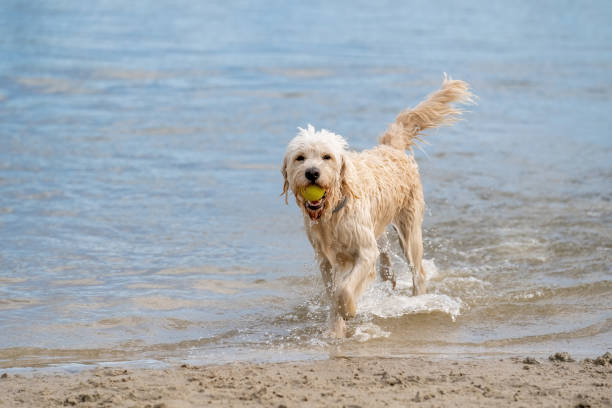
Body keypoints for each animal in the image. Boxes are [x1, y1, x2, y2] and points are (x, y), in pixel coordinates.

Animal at [282, 76, 474, 338]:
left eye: (326, 157)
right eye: (300, 157)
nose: (312, 173)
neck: (333, 211)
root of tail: (390, 147)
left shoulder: (363, 252)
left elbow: (344, 290)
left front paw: (349, 310)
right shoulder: (325, 259)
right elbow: (333, 292)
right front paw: (335, 330)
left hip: (409, 231)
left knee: (418, 273)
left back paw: (417, 300)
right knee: (384, 254)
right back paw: (388, 275)